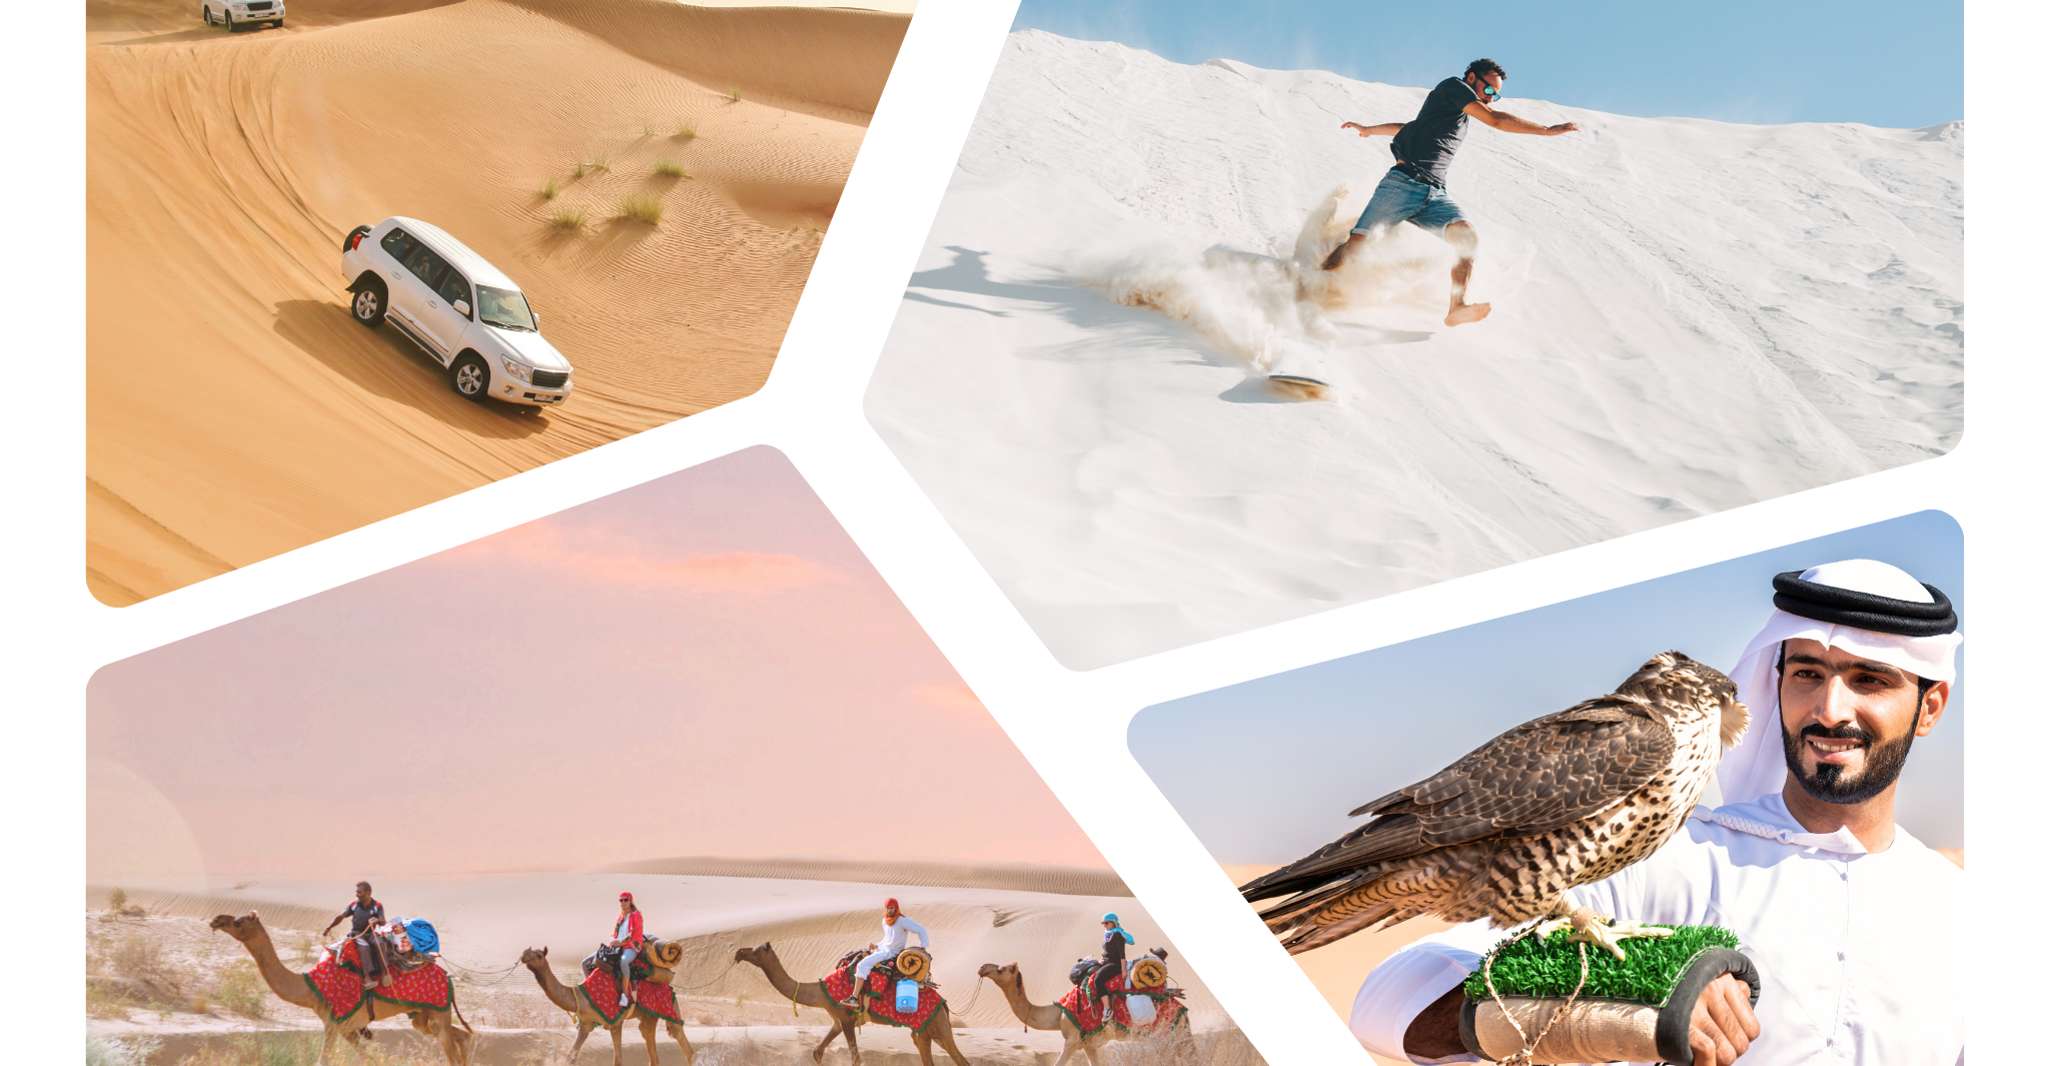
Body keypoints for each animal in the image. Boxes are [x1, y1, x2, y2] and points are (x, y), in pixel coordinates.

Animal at [209, 913, 473, 1065]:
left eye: (238, 922)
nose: (216, 920)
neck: (313, 986)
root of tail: (448, 977)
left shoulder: (334, 1023)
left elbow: (323, 1061)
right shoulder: (347, 1028)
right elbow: (369, 1059)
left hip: (439, 1009)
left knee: (451, 1048)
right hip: (421, 1016)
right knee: (460, 1037)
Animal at [519, 946, 696, 1066]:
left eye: (539, 954)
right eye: (528, 950)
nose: (523, 955)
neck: (578, 995)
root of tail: (670, 986)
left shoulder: (615, 1021)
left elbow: (618, 1060)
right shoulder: (586, 1024)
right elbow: (570, 1057)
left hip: (669, 1007)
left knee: (682, 1039)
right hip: (648, 1016)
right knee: (651, 1047)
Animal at [733, 942, 971, 1066]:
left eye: (756, 950)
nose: (738, 952)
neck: (820, 992)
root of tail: (944, 1004)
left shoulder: (847, 1019)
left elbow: (855, 1058)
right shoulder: (838, 1021)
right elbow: (817, 1052)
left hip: (937, 1027)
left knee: (961, 1060)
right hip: (924, 1033)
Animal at [977, 962, 1190, 1066]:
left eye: (1001, 969)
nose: (982, 968)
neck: (1057, 1014)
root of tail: (1182, 1010)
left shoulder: (1072, 1040)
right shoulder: (1089, 1044)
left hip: (1161, 1035)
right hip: (1173, 1036)